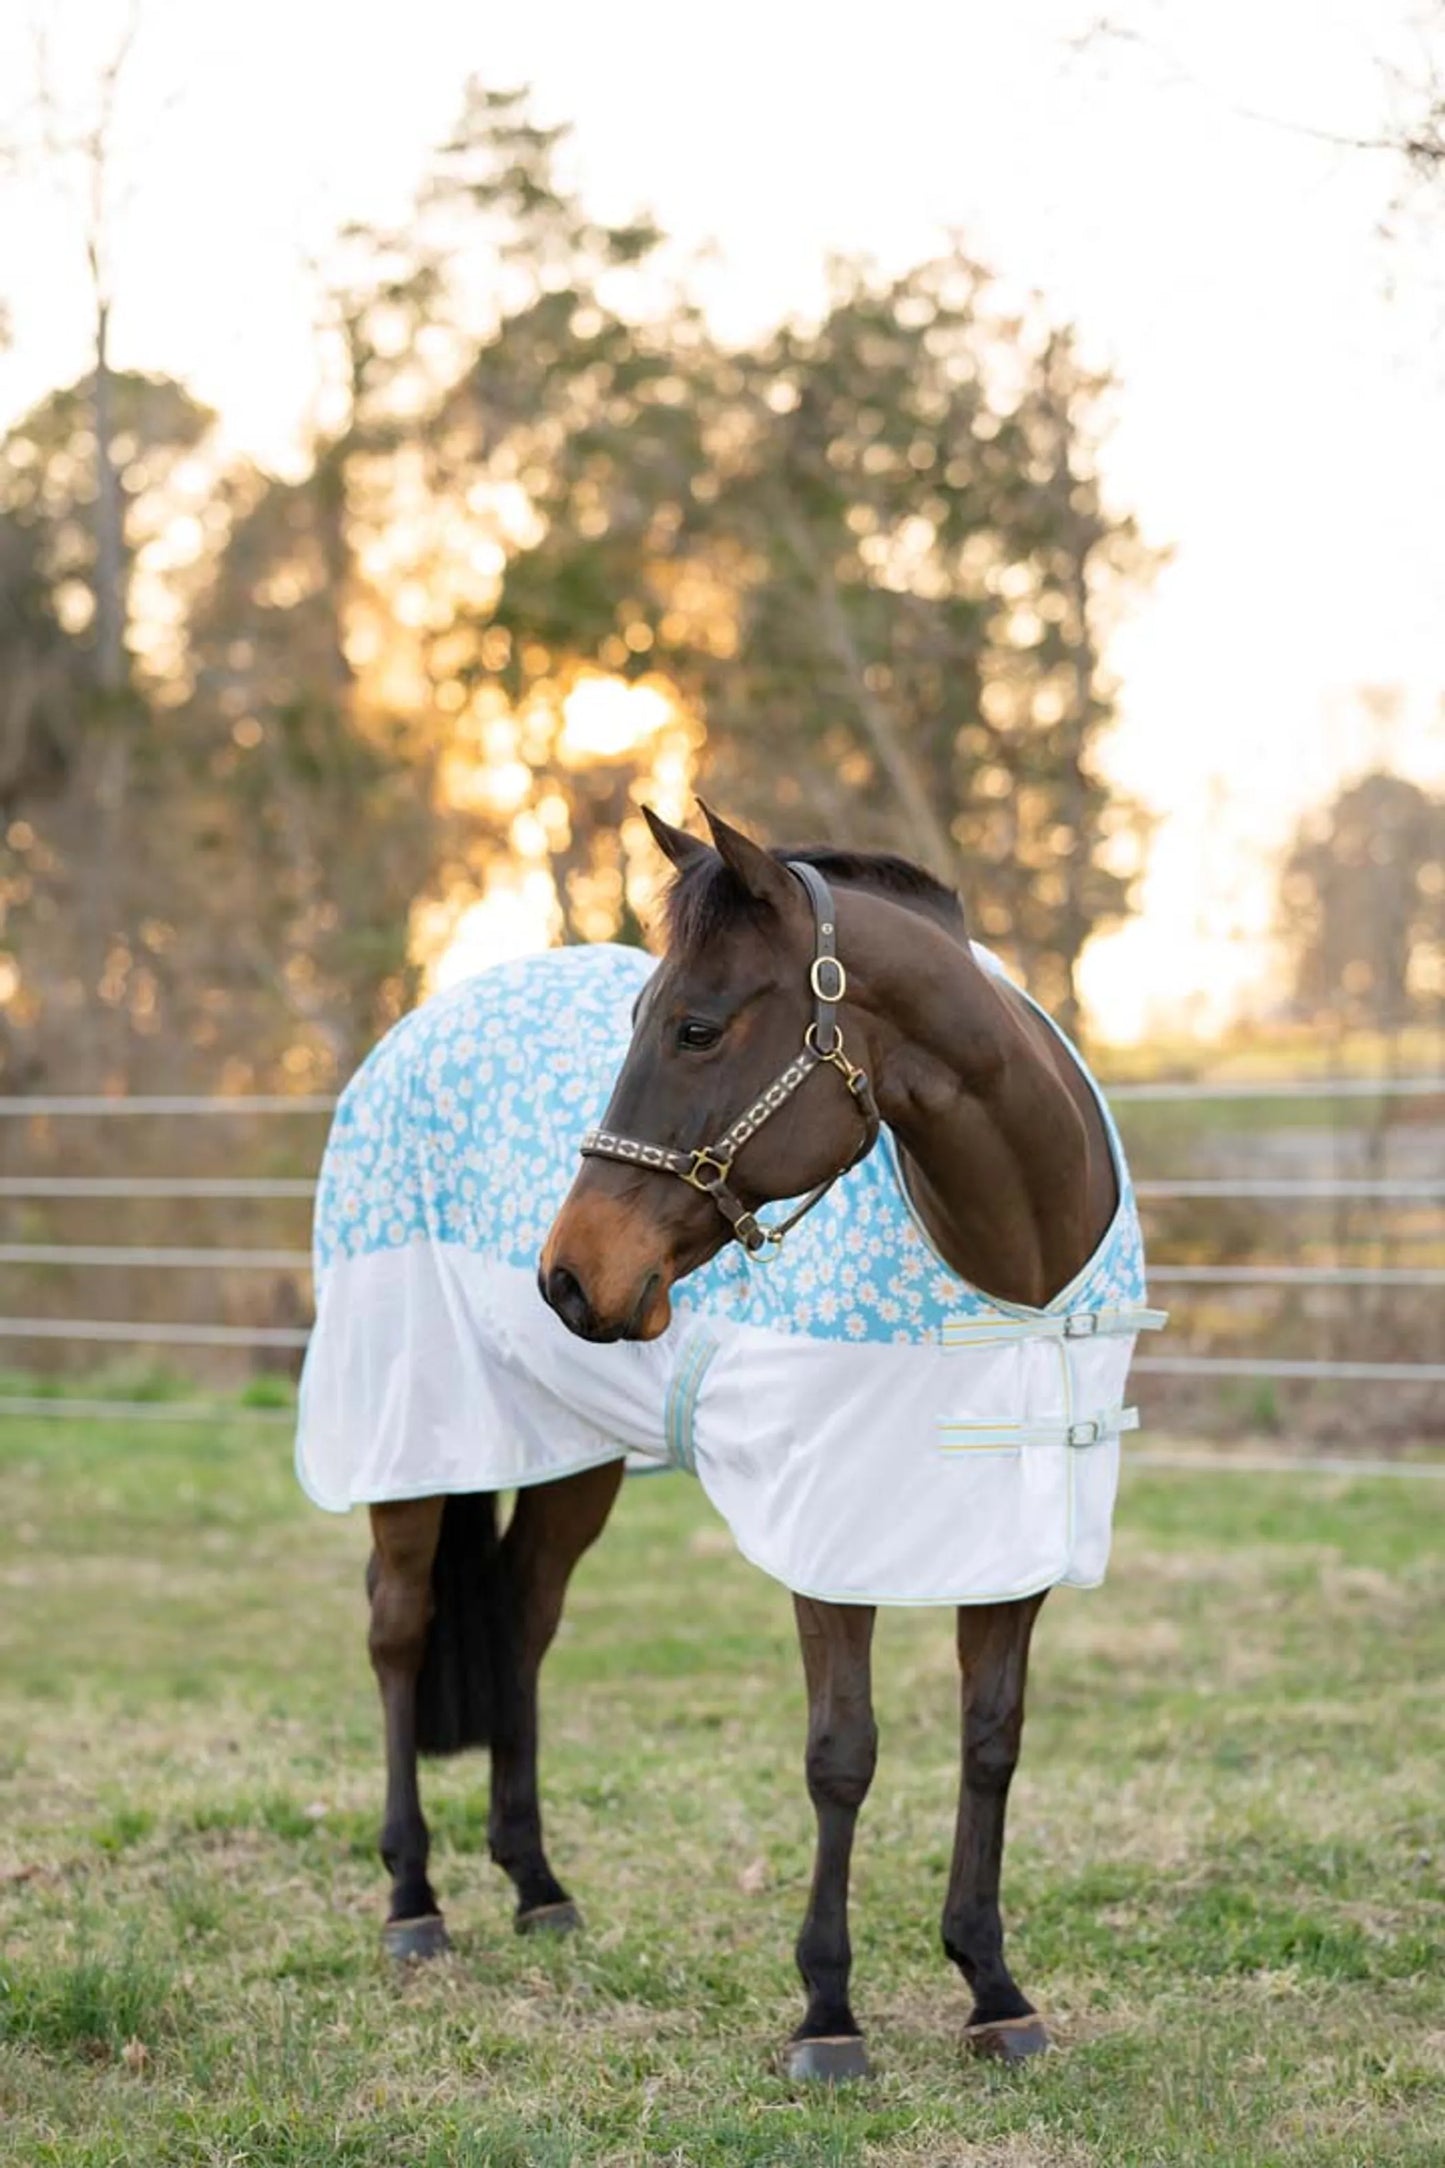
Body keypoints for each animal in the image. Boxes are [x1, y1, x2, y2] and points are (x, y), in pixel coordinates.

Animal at [297, 802, 1160, 2080]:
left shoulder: (1010, 1542)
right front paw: (827, 2012)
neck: (1010, 1270)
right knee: (397, 1628)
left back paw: (537, 1883)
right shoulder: (826, 1536)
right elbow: (840, 1752)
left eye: (695, 1027)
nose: (568, 1273)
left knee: (521, 1619)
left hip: (569, 1461)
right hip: (411, 1439)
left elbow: (989, 1740)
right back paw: (413, 1900)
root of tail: (403, 1042)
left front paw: (991, 1987)